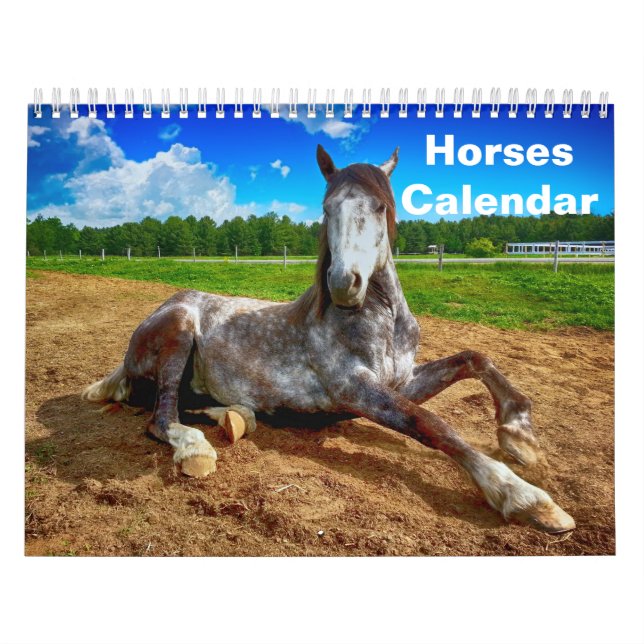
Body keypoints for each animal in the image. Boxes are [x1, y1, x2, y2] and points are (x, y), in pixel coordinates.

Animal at [83, 144, 575, 534]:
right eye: (326, 209)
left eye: (380, 206)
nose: (344, 284)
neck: (381, 322)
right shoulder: (353, 389)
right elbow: (430, 423)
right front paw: (525, 497)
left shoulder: (401, 381)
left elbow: (476, 358)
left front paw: (520, 438)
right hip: (180, 331)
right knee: (161, 416)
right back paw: (196, 449)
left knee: (191, 404)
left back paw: (237, 417)